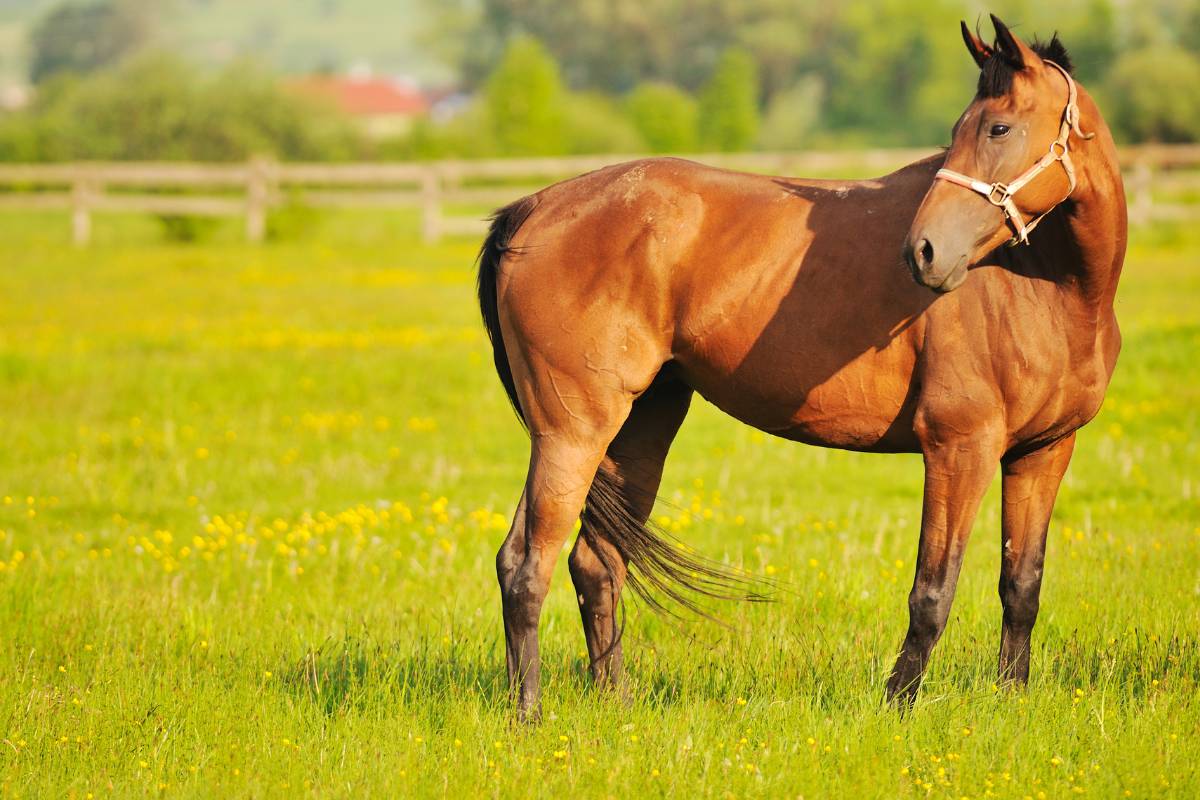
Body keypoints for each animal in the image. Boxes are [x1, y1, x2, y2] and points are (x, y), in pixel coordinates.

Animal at [475, 17, 1123, 719]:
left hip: (638, 426)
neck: (1046, 285)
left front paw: (1011, 700)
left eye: (998, 128)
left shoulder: (1044, 451)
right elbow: (933, 591)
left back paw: (615, 703)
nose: (923, 252)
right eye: (962, 129)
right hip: (571, 433)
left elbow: (1021, 584)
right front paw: (897, 706)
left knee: (595, 563)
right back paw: (529, 715)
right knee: (525, 564)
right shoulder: (960, 448)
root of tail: (532, 210)